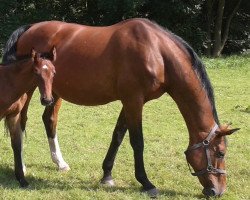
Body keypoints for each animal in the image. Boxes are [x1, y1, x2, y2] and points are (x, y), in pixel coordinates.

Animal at [0, 47, 56, 187]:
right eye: (36, 72)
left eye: (54, 72)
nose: (47, 100)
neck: (7, 82)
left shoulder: (13, 116)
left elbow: (16, 145)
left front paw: (22, 179)